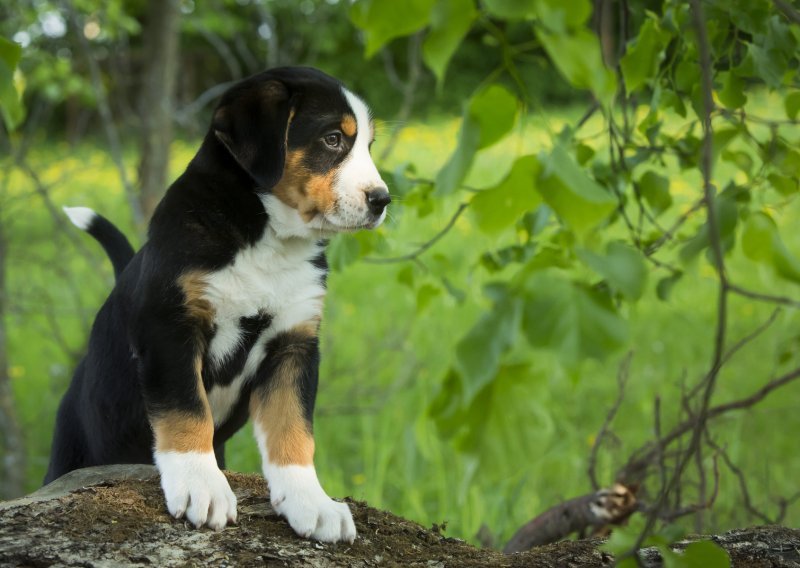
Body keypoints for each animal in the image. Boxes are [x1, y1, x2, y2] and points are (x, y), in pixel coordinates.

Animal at [45, 66, 390, 540]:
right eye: (333, 139)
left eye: (367, 145)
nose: (382, 199)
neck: (266, 241)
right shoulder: (172, 329)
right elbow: (188, 412)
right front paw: (201, 487)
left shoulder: (294, 343)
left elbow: (293, 430)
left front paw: (312, 503)